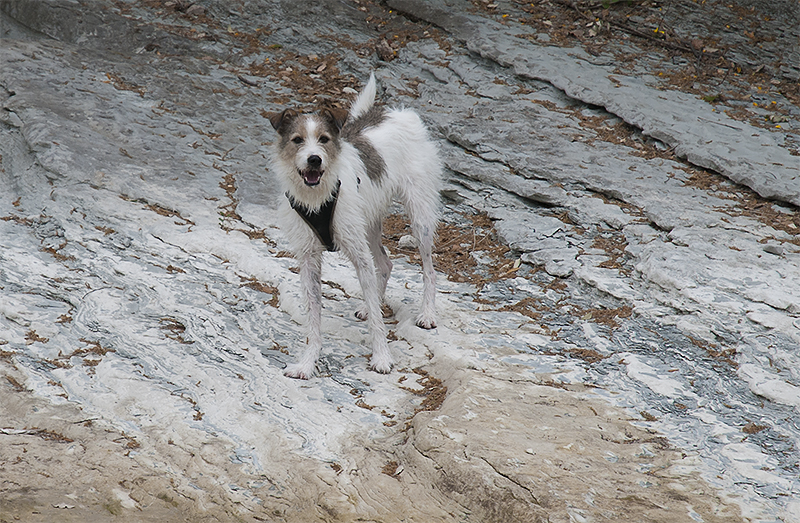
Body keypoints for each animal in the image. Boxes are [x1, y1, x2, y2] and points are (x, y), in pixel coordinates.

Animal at [268, 72, 444, 380]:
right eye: (297, 140)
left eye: (324, 139)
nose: (314, 159)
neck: (318, 197)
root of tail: (400, 113)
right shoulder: (309, 261)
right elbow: (314, 320)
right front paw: (307, 363)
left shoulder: (359, 255)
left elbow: (377, 320)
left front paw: (382, 357)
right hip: (369, 225)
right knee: (385, 264)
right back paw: (367, 304)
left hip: (419, 217)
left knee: (429, 270)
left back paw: (427, 314)